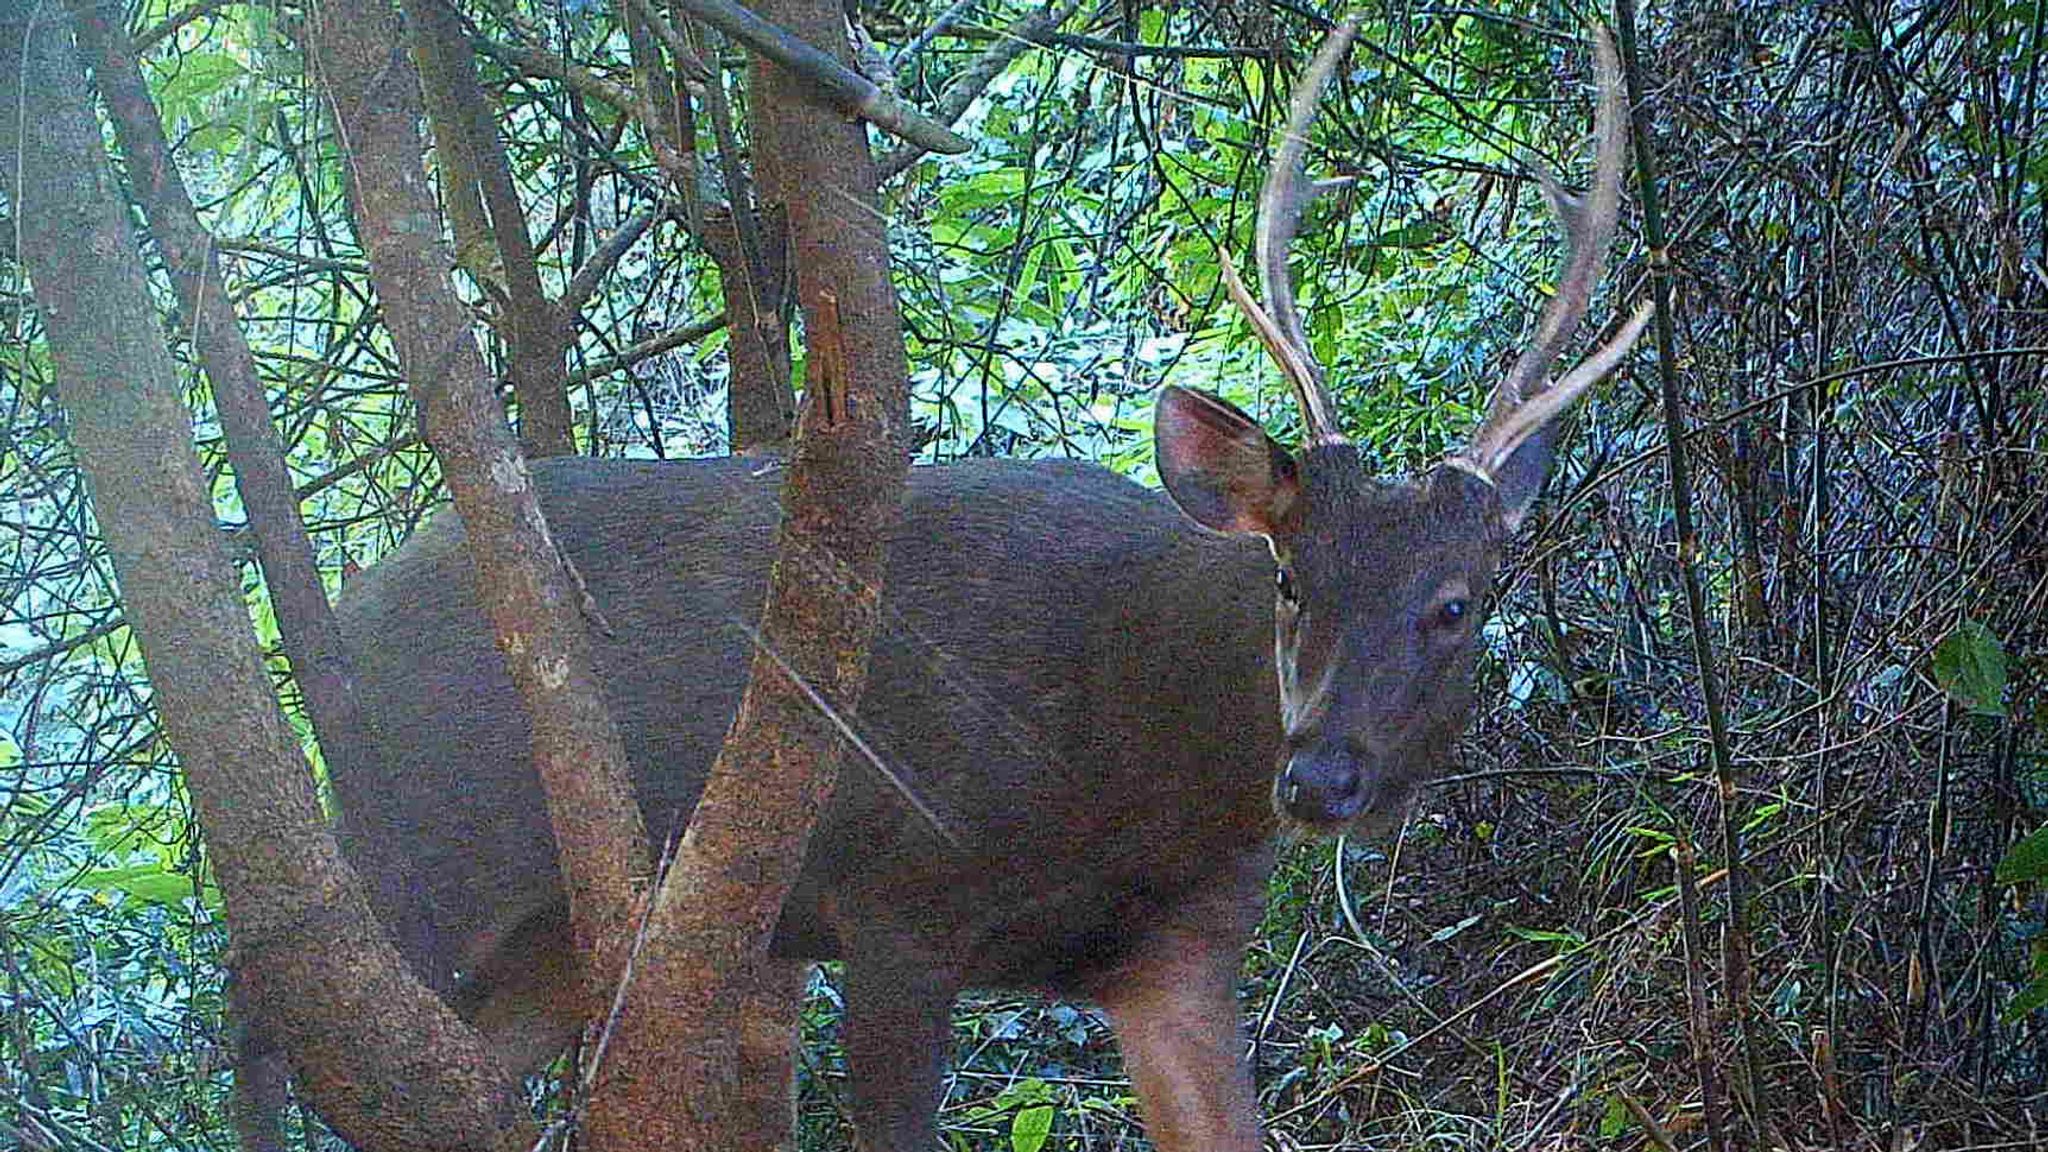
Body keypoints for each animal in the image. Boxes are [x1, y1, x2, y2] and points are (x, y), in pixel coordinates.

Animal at [331, 17, 1646, 1147]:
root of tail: (348, 608)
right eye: (1288, 579)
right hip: (414, 855)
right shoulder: (892, 896)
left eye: (1454, 603)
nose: (1319, 776)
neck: (1127, 778)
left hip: (544, 940)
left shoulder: (1175, 954)